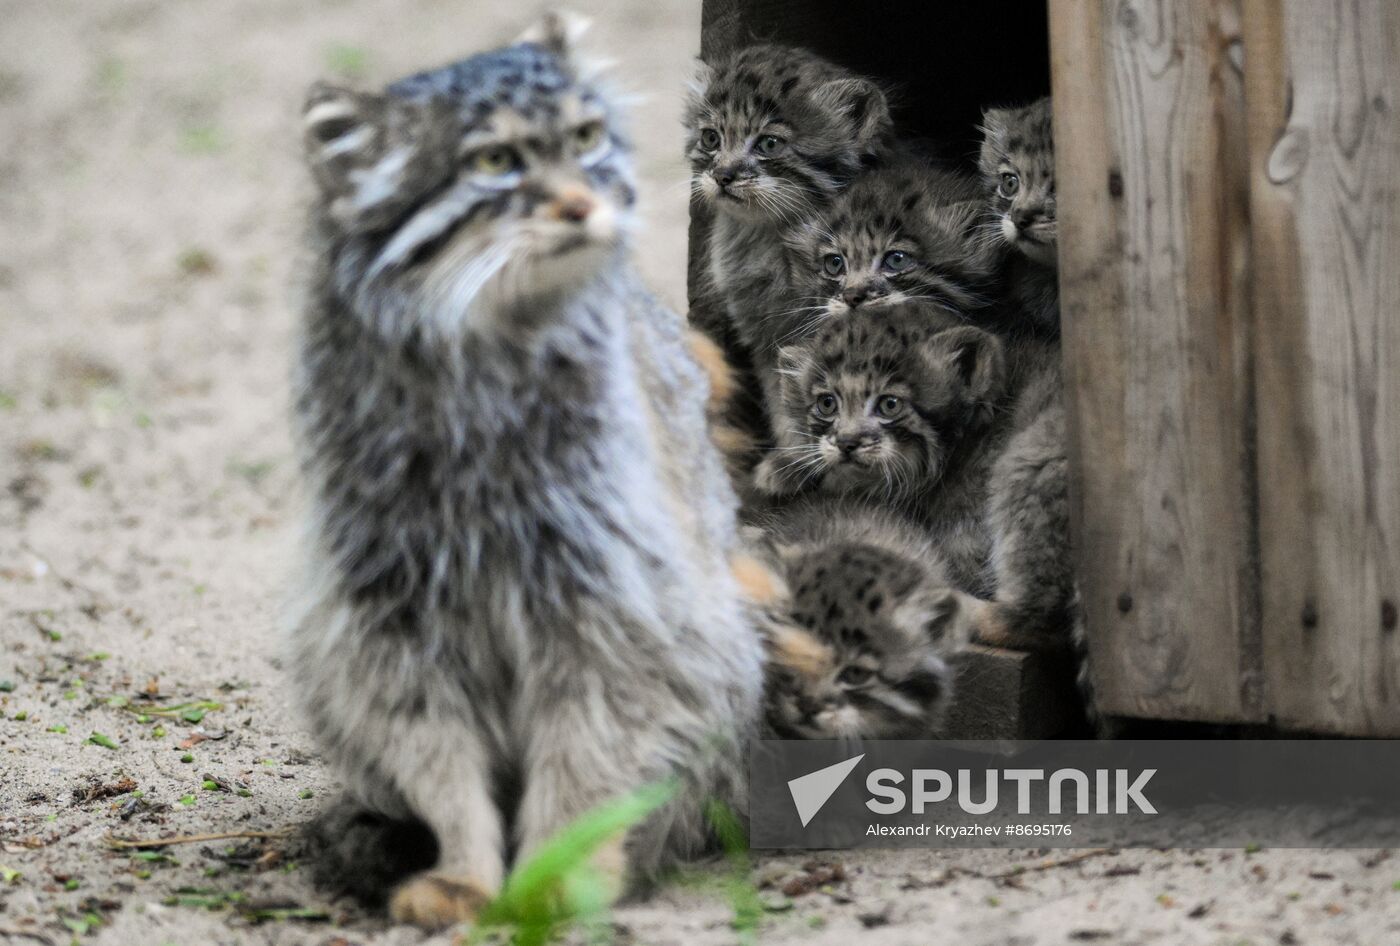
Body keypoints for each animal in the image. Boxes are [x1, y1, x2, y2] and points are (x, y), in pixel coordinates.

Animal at [288, 16, 761, 929]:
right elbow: (438, 757)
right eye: (495, 162)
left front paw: (554, 877)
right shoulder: (387, 614)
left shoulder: (611, 601)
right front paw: (465, 871)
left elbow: (586, 759)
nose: (580, 204)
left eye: (584, 139)